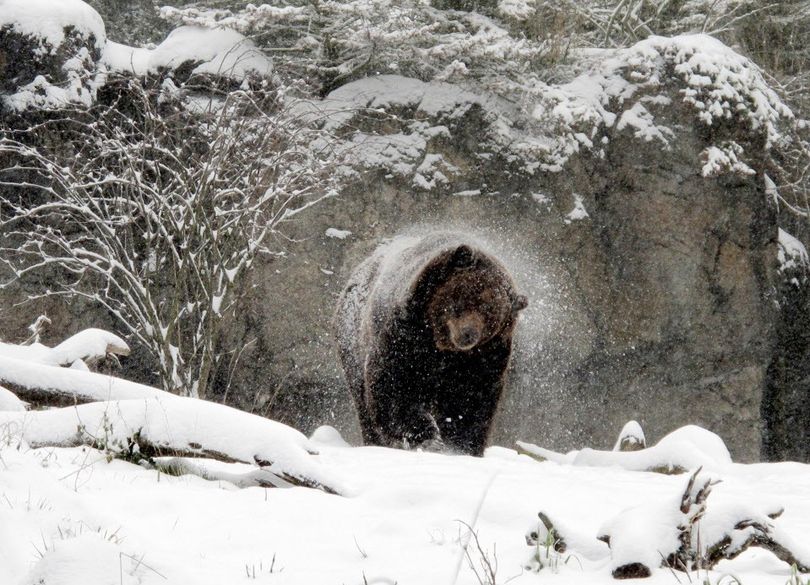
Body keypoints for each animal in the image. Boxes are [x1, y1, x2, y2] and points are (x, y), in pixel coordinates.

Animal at [332, 230, 528, 454]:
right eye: (467, 299)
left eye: (490, 316)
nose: (468, 335)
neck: (440, 345)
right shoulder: (405, 333)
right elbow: (395, 385)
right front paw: (428, 437)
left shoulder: (484, 356)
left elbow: (470, 399)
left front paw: (459, 446)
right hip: (352, 338)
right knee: (362, 400)